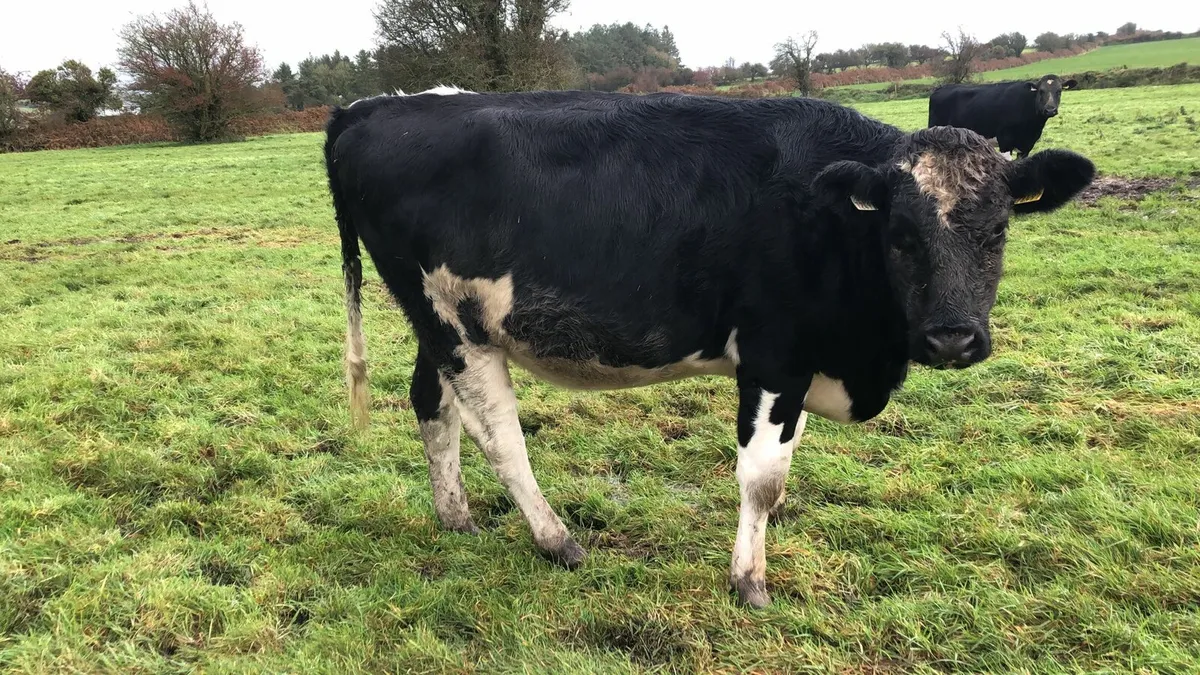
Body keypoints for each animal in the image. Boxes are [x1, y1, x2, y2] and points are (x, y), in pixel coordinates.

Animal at [323, 87, 1095, 608]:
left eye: (999, 229)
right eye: (901, 235)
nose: (954, 337)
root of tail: (368, 108)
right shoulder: (775, 355)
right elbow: (763, 478)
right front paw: (749, 581)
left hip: (444, 319)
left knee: (433, 406)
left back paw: (455, 518)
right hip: (456, 326)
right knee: (499, 434)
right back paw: (557, 539)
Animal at [928, 75, 1078, 159]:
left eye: (1059, 91)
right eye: (1041, 91)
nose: (1050, 110)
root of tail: (940, 89)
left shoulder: (1027, 146)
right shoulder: (1005, 142)